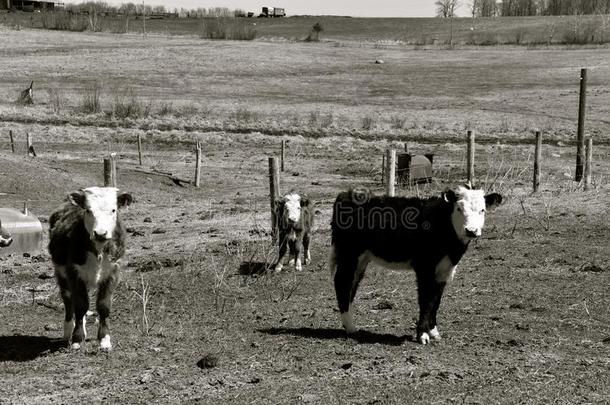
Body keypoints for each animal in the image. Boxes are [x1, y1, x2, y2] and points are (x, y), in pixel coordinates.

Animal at [48, 187, 132, 350]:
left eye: (113, 210)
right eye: (88, 210)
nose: (100, 233)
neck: (98, 250)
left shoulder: (112, 272)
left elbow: (103, 306)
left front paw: (105, 340)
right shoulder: (74, 273)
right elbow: (80, 305)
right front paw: (77, 339)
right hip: (61, 273)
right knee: (68, 300)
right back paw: (68, 331)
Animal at [330, 183, 502, 344]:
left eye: (482, 210)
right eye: (459, 208)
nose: (471, 230)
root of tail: (347, 194)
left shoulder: (445, 270)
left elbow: (435, 300)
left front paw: (433, 331)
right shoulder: (425, 267)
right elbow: (425, 300)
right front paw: (423, 335)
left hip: (362, 258)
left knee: (352, 284)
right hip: (350, 253)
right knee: (342, 282)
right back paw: (351, 327)